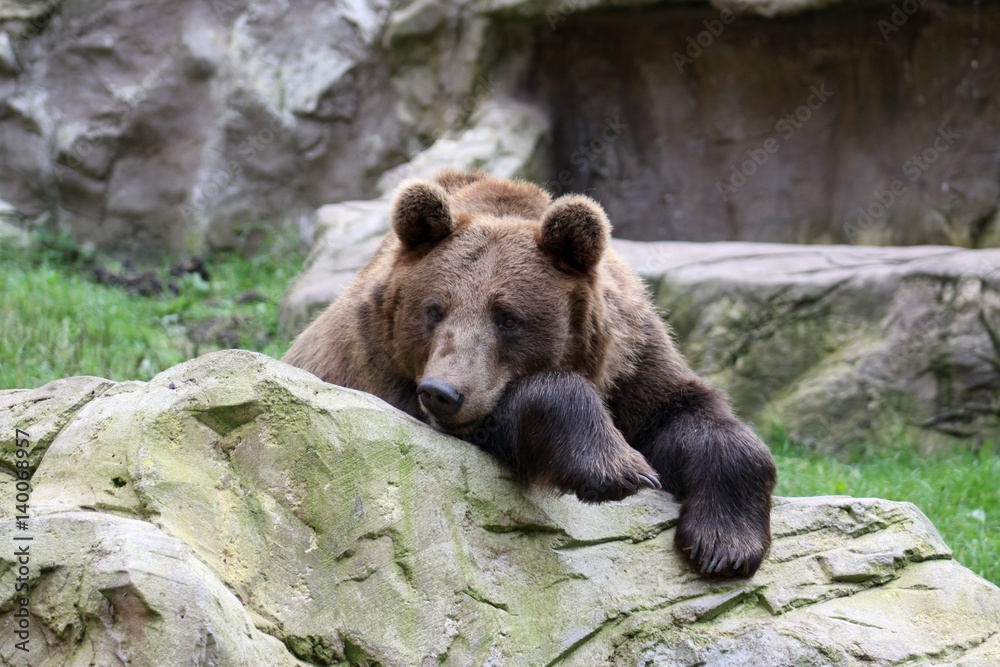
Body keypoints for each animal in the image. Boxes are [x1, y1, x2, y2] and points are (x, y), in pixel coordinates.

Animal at [284, 169, 777, 577]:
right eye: (434, 310)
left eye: (507, 317)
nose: (443, 392)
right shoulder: (382, 373)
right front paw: (617, 468)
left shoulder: (631, 362)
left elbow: (689, 413)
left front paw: (724, 544)